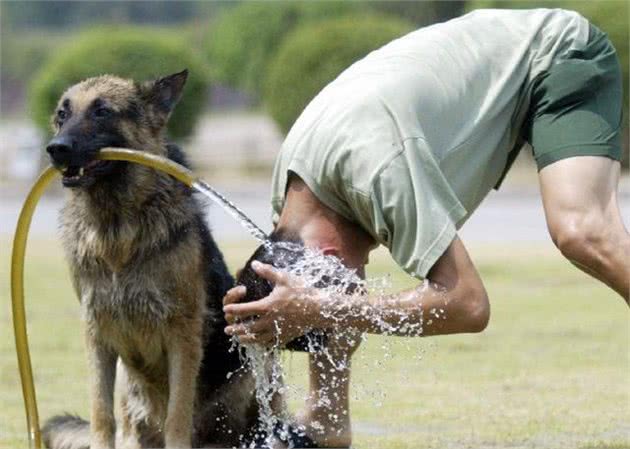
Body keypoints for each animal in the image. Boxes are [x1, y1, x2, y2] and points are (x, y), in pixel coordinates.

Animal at [40, 71, 272, 448]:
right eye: (63, 114)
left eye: (102, 111)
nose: (56, 148)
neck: (116, 229)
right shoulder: (97, 336)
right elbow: (101, 414)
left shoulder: (182, 336)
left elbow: (178, 415)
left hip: (254, 369)